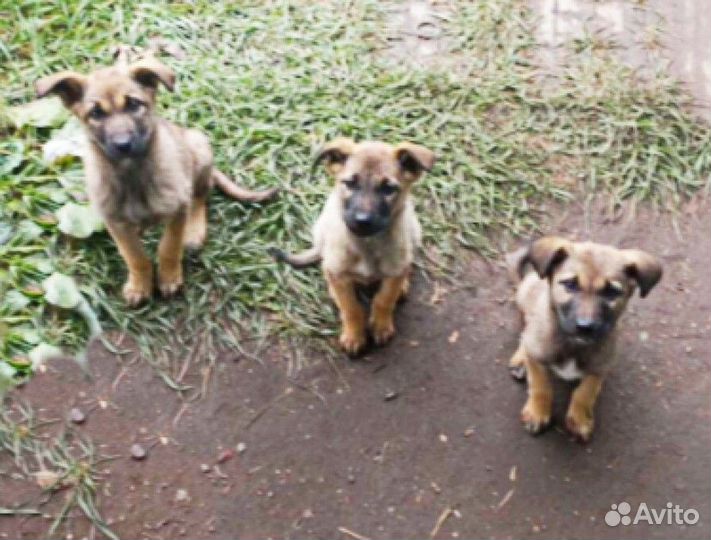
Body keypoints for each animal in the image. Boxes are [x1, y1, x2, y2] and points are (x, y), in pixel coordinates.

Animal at [35, 58, 278, 308]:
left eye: (134, 104)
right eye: (96, 113)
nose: (123, 144)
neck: (133, 175)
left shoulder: (178, 209)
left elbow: (169, 246)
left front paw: (169, 277)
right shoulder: (114, 221)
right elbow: (135, 256)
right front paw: (140, 285)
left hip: (199, 149)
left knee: (200, 196)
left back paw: (193, 232)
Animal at [272, 138, 436, 354]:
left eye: (388, 189)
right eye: (350, 183)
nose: (362, 221)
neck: (367, 245)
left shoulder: (394, 270)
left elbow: (384, 299)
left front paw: (381, 325)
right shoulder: (338, 272)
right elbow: (351, 308)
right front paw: (354, 335)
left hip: (415, 231)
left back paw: (402, 284)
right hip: (321, 230)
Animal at [506, 238, 660, 440]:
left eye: (611, 292)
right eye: (570, 284)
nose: (585, 327)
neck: (574, 345)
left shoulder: (601, 366)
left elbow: (586, 391)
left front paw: (579, 418)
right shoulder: (538, 355)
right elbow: (541, 385)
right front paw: (538, 411)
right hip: (526, 300)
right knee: (525, 332)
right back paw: (520, 359)